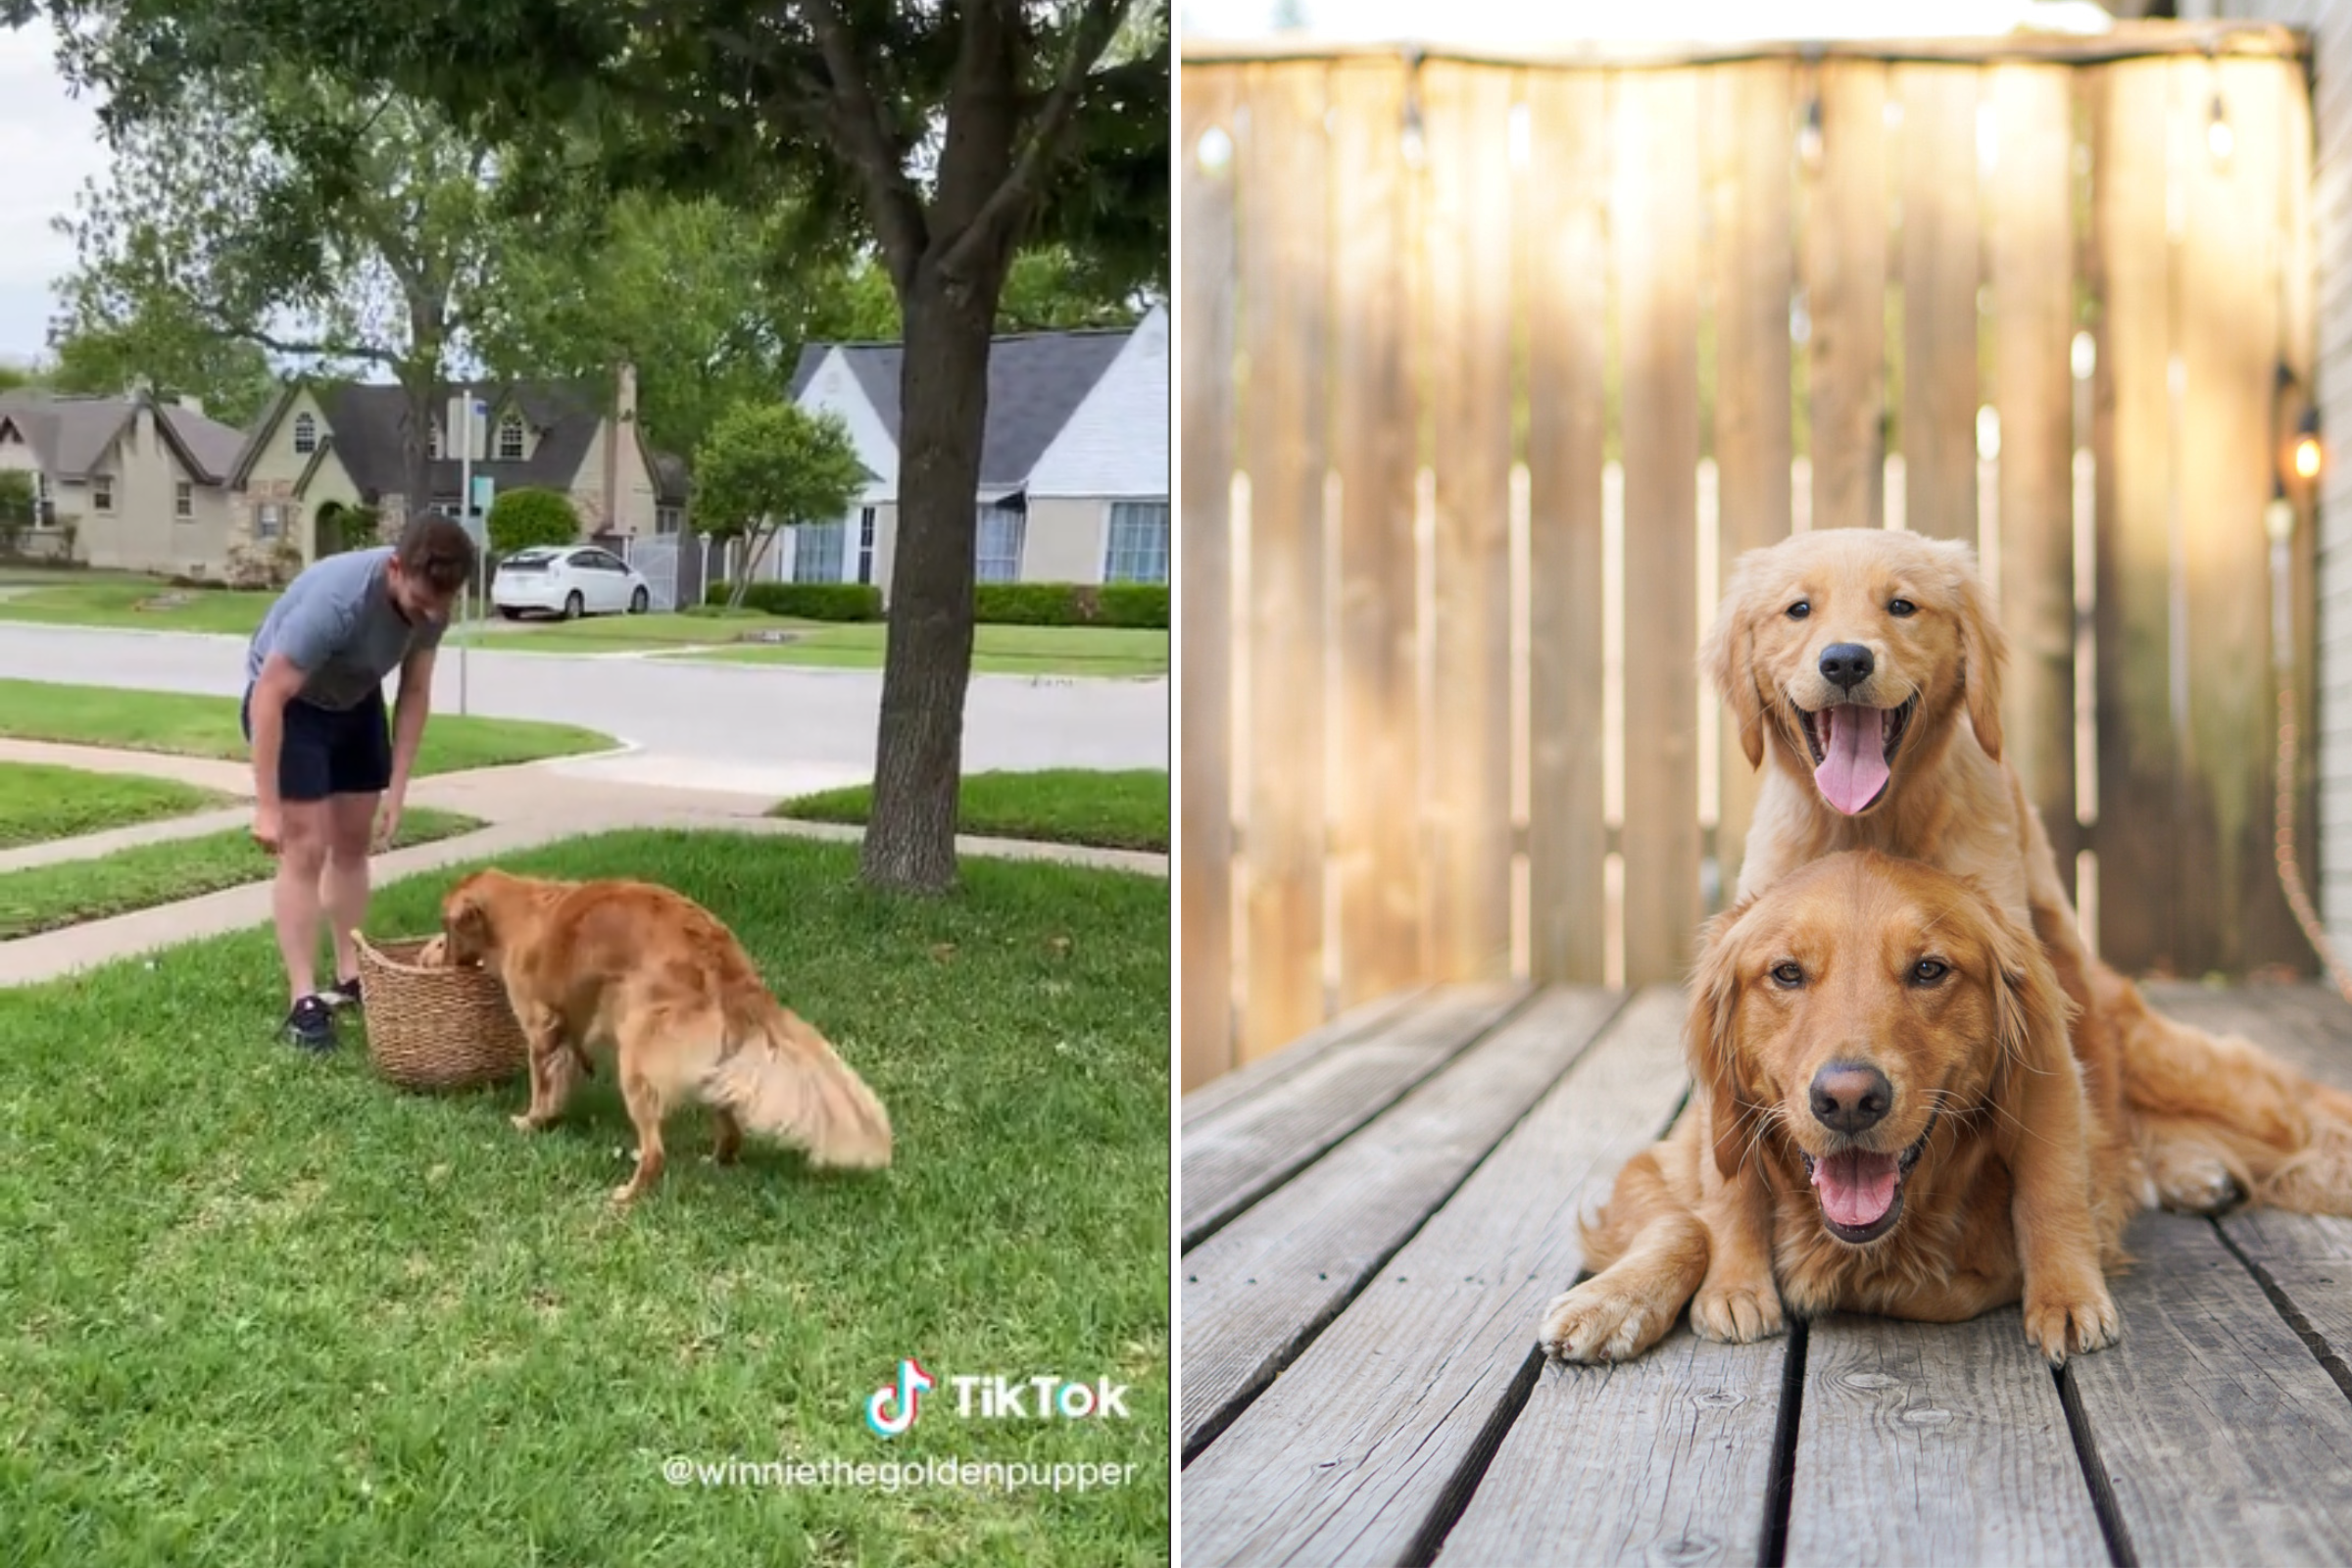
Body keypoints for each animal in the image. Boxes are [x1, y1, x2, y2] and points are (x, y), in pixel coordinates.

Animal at [442, 864, 889, 1212]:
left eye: (446, 929)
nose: (444, 961)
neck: (519, 912)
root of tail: (725, 958)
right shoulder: (567, 1026)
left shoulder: (540, 1025)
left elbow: (542, 1082)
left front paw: (532, 1120)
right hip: (705, 1067)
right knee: (729, 1127)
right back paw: (718, 1159)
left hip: (638, 1058)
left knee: (656, 1152)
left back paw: (628, 1195)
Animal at [1543, 851, 2352, 1363]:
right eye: (1786, 973)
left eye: (1929, 970)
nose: (1848, 1100)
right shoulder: (1667, 1158)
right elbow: (1687, 1222)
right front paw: (1613, 1302)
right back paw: (2191, 1173)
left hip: (2196, 1077)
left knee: (2303, 1111)